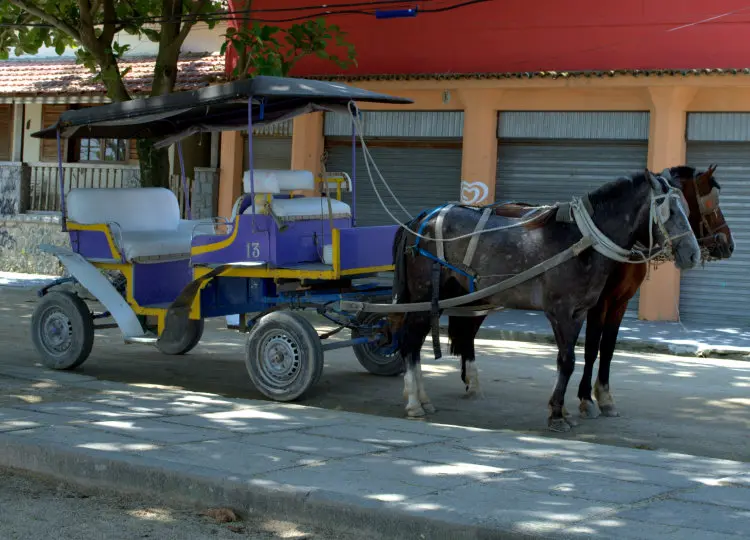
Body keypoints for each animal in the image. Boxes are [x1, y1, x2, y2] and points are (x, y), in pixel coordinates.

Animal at [390, 171, 704, 432]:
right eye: (670, 211)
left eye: (688, 210)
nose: (693, 254)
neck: (582, 242)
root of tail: (420, 220)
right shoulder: (561, 311)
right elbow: (569, 360)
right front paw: (557, 414)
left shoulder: (580, 312)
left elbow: (573, 358)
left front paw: (564, 409)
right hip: (424, 295)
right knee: (410, 342)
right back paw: (415, 403)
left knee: (424, 340)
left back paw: (426, 397)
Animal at [464, 165, 736, 418]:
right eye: (710, 202)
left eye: (687, 210)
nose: (728, 245)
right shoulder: (599, 303)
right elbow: (592, 347)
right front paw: (586, 398)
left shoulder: (620, 302)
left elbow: (608, 348)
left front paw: (604, 396)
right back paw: (471, 380)